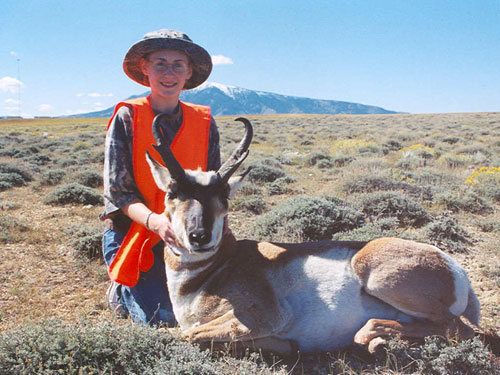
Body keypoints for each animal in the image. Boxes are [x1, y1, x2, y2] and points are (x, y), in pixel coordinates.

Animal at [146, 116, 480, 356]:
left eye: (224, 195)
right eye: (172, 192)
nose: (199, 236)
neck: (212, 272)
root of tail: (454, 266)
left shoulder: (265, 316)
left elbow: (189, 334)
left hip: (374, 273)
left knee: (458, 329)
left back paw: (370, 338)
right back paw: (376, 340)